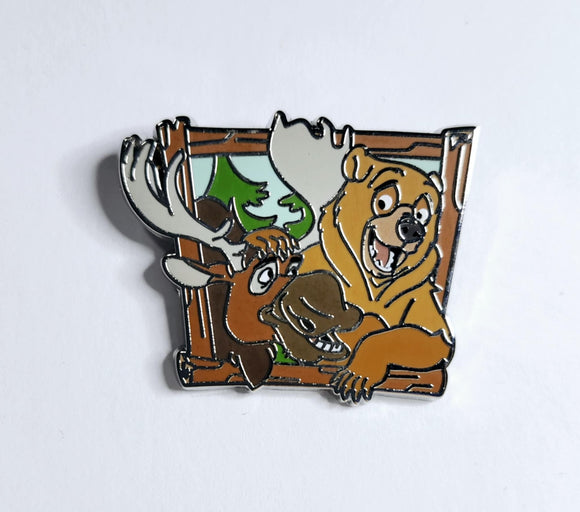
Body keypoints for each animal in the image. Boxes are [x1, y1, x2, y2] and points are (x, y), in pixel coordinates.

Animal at [300, 145, 454, 402]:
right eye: (384, 202)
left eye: (422, 214)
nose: (413, 228)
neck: (373, 287)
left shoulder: (432, 324)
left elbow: (389, 336)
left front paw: (357, 373)